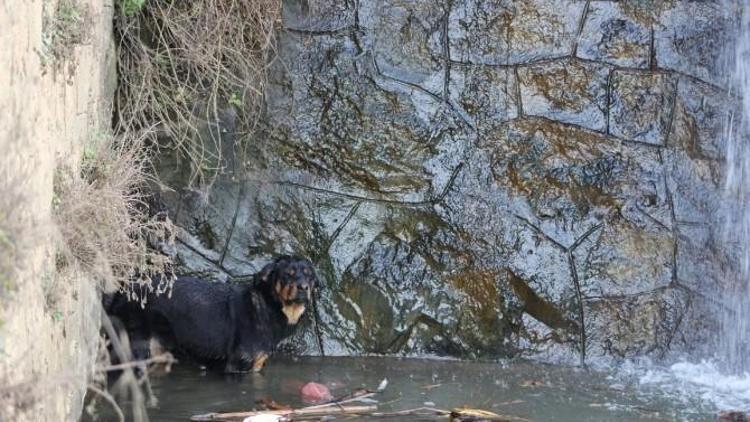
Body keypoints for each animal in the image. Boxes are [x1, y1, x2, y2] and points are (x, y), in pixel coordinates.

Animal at [106, 254, 318, 372]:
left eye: (309, 275)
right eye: (288, 274)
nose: (303, 287)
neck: (268, 307)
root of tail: (122, 289)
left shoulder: (256, 364)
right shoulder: (238, 363)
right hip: (136, 346)